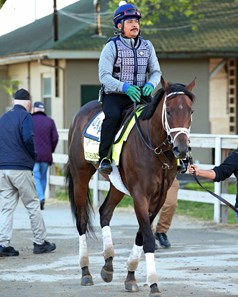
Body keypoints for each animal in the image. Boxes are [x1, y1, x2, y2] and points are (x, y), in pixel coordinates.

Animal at [64, 77, 195, 296]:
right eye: (168, 111)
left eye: (190, 111)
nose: (182, 149)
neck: (155, 150)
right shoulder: (140, 196)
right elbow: (148, 239)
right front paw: (153, 284)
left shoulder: (159, 198)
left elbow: (142, 235)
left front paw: (131, 276)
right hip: (80, 176)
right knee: (81, 221)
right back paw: (86, 272)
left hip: (117, 186)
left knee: (105, 212)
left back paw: (108, 265)